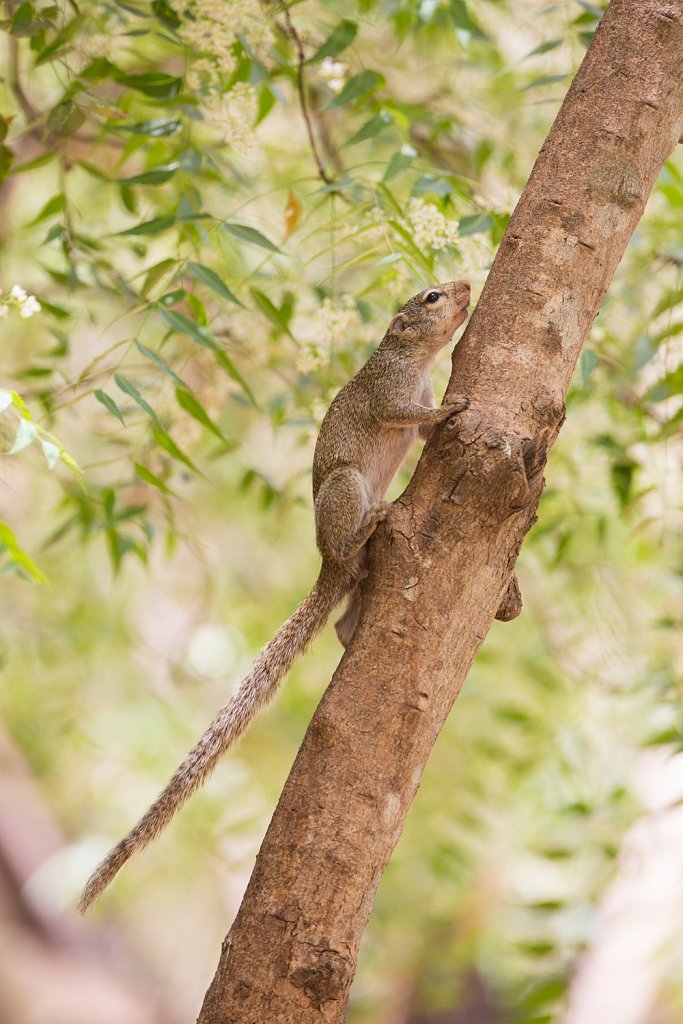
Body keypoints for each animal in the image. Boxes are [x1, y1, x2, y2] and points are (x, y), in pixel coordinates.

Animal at [77, 280, 473, 913]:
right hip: (346, 488)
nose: (465, 285)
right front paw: (452, 409)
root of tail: (328, 562)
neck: (411, 359)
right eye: (433, 296)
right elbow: (405, 414)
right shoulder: (388, 393)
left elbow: (422, 434)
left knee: (343, 615)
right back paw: (369, 523)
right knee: (350, 537)